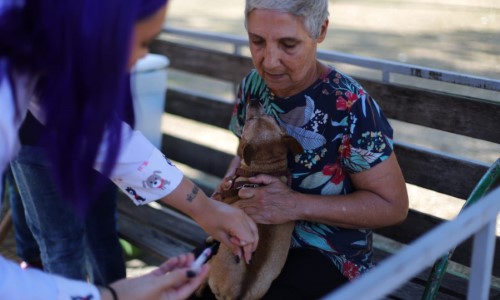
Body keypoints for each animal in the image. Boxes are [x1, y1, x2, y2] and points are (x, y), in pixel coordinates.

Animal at [202, 99, 300, 300]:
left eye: (247, 122)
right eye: (271, 117)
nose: (254, 100)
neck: (266, 169)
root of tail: (238, 293)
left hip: (212, 265)